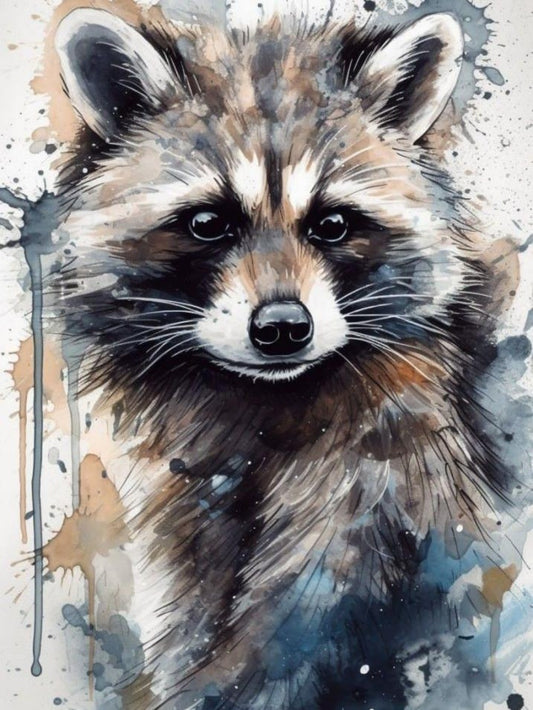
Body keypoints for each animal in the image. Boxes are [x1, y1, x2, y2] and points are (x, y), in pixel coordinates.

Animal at [50, 7, 514, 709]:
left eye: (333, 225)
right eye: (208, 223)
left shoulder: (380, 473)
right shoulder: (184, 502)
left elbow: (297, 626)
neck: (262, 400)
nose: (282, 329)